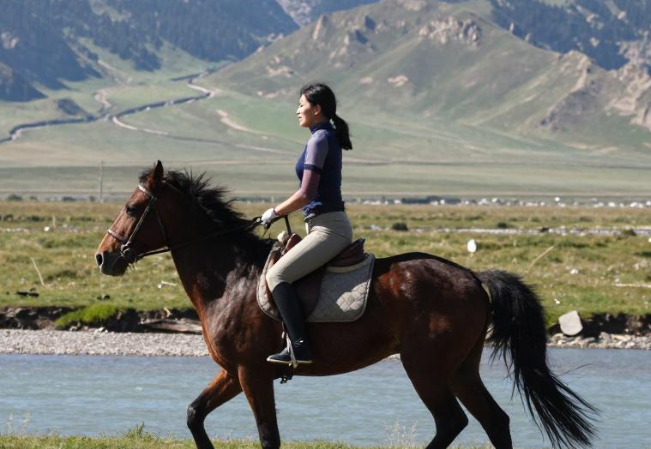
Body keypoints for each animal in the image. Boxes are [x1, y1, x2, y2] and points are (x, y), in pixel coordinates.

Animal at [95, 161, 597, 449]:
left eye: (134, 208)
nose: (104, 257)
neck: (230, 280)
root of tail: (474, 277)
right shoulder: (234, 372)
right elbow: (195, 416)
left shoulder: (252, 373)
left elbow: (268, 437)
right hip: (460, 368)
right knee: (495, 422)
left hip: (425, 366)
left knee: (451, 422)